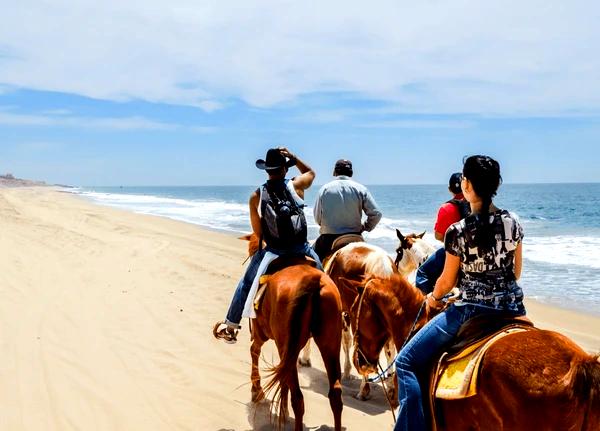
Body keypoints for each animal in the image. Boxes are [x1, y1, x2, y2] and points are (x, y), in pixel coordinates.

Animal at [239, 236, 342, 431]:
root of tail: (313, 280)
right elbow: (282, 377)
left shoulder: (262, 334)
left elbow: (254, 351)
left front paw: (257, 391)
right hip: (330, 345)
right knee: (335, 395)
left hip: (286, 343)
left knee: (298, 398)